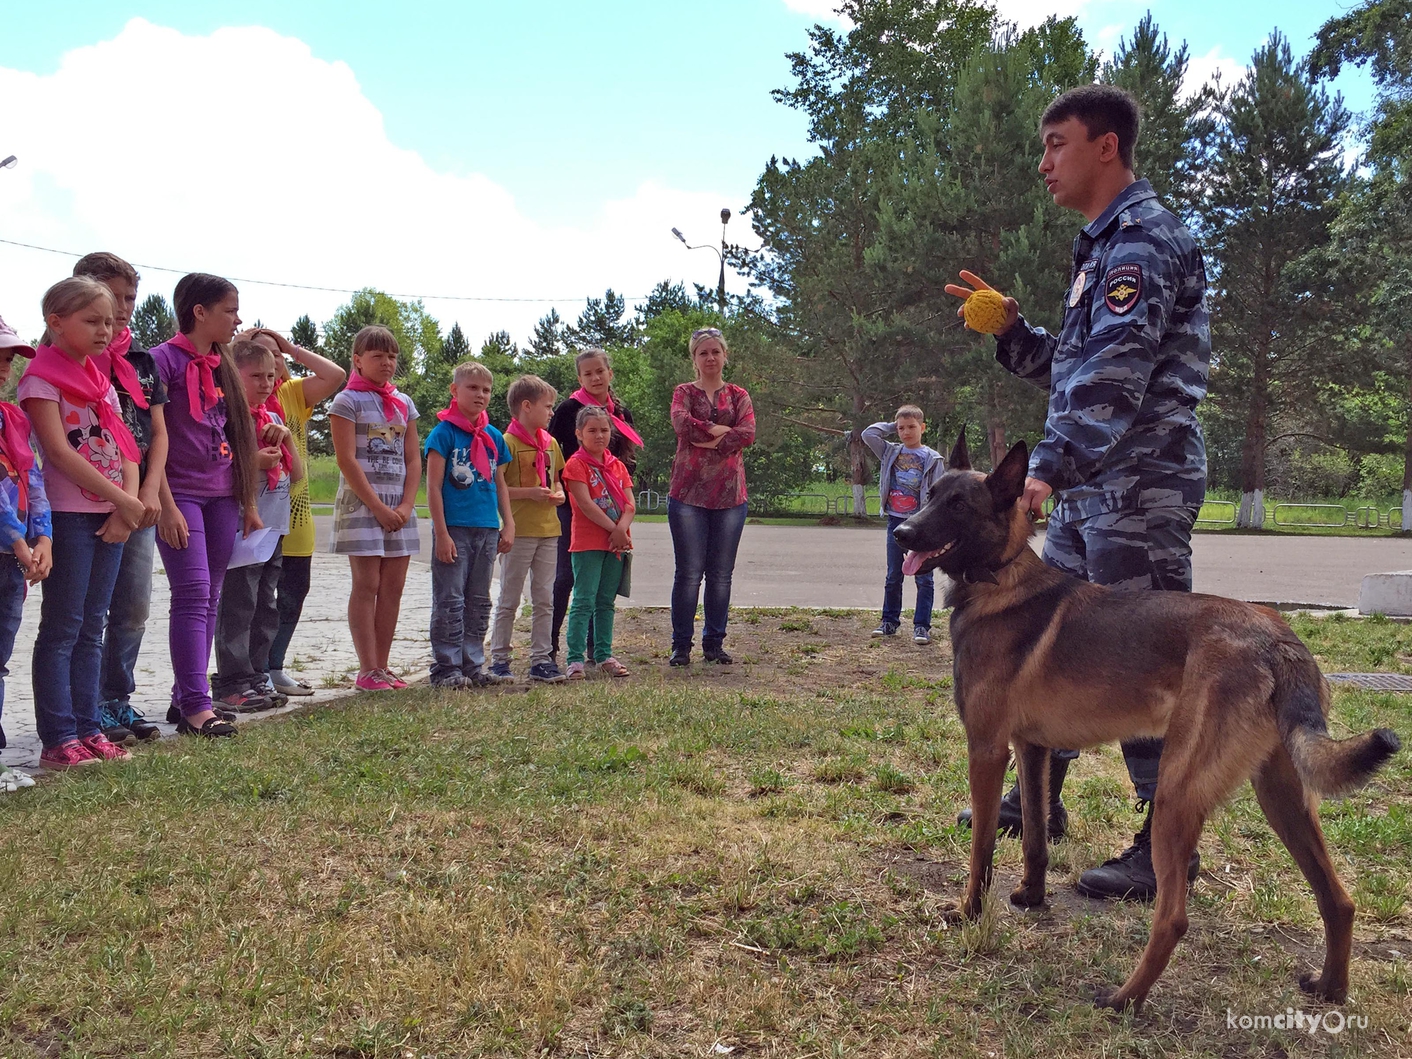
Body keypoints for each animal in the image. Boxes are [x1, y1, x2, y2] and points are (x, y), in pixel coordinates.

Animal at [892, 434, 1400, 1016]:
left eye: (959, 506)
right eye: (931, 494)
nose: (900, 532)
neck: (1001, 576)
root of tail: (1279, 641)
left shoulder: (988, 749)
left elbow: (981, 846)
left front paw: (969, 912)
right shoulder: (1032, 748)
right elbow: (1035, 838)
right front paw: (1031, 897)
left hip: (1178, 797)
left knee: (1174, 919)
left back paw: (1124, 999)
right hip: (1282, 798)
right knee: (1337, 898)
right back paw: (1331, 988)